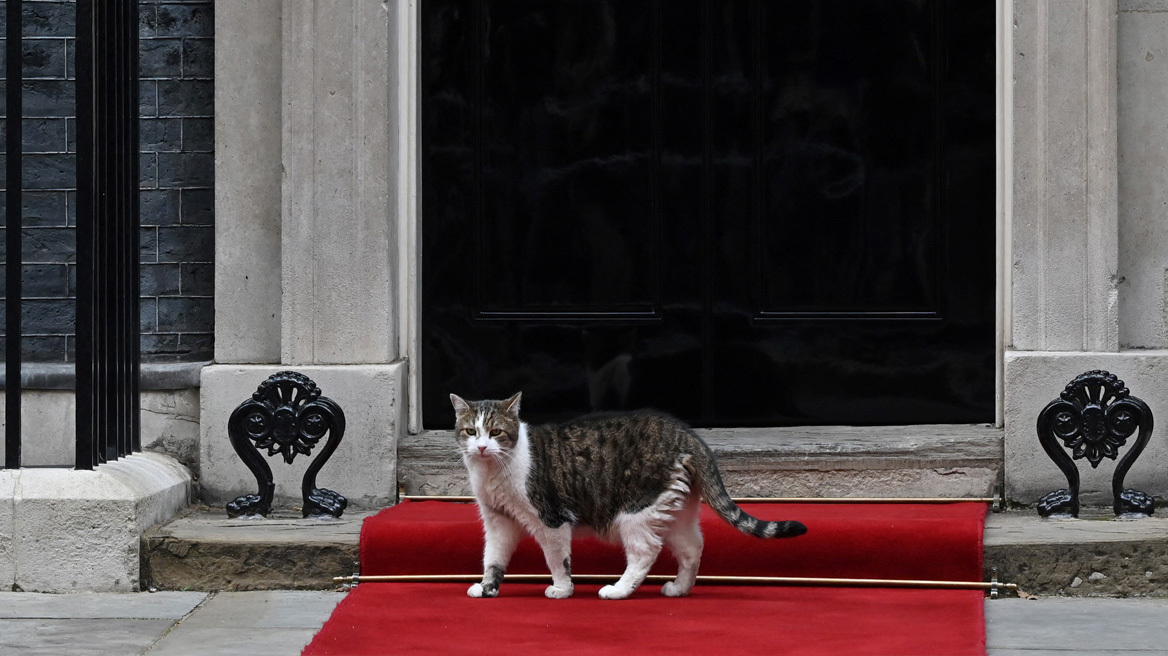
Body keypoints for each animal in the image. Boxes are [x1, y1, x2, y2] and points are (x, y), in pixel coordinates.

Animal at [446, 389, 803, 602]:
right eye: (470, 431)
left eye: (496, 432)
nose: (481, 447)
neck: (493, 473)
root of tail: (686, 433)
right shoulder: (498, 521)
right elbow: (493, 558)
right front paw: (487, 588)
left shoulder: (551, 520)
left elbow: (558, 561)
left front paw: (562, 589)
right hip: (674, 509)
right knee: (692, 548)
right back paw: (679, 589)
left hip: (636, 512)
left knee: (645, 552)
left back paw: (618, 590)